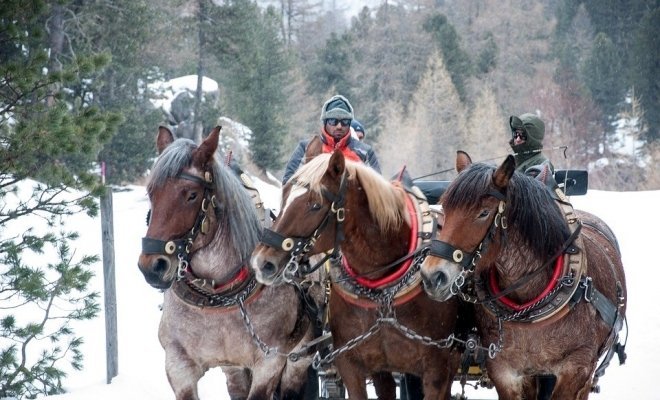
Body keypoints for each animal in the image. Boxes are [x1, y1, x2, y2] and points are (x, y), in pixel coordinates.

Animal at [135, 126, 316, 400]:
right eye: (151, 192)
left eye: (192, 195)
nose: (152, 266)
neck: (218, 295)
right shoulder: (179, 364)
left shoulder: (270, 361)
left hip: (300, 356)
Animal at [250, 151, 462, 400]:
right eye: (284, 198)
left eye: (315, 205)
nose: (262, 262)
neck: (383, 292)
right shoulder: (355, 366)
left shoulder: (436, 369)